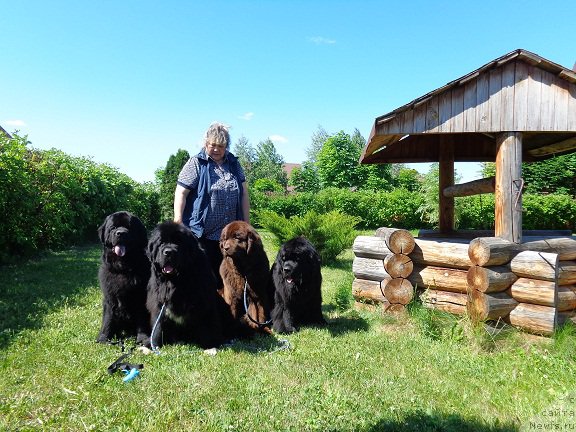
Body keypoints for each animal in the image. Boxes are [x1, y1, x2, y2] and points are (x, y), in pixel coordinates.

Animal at [97, 210, 151, 344]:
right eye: (113, 227)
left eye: (129, 227)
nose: (120, 233)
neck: (123, 269)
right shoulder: (109, 298)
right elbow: (108, 318)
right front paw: (104, 337)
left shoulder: (140, 298)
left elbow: (142, 319)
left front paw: (143, 338)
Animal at [146, 221, 232, 350]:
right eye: (161, 243)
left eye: (178, 243)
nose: (168, 252)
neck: (177, 281)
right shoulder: (159, 303)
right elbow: (158, 326)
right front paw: (154, 344)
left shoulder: (204, 302)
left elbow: (207, 323)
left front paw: (210, 345)